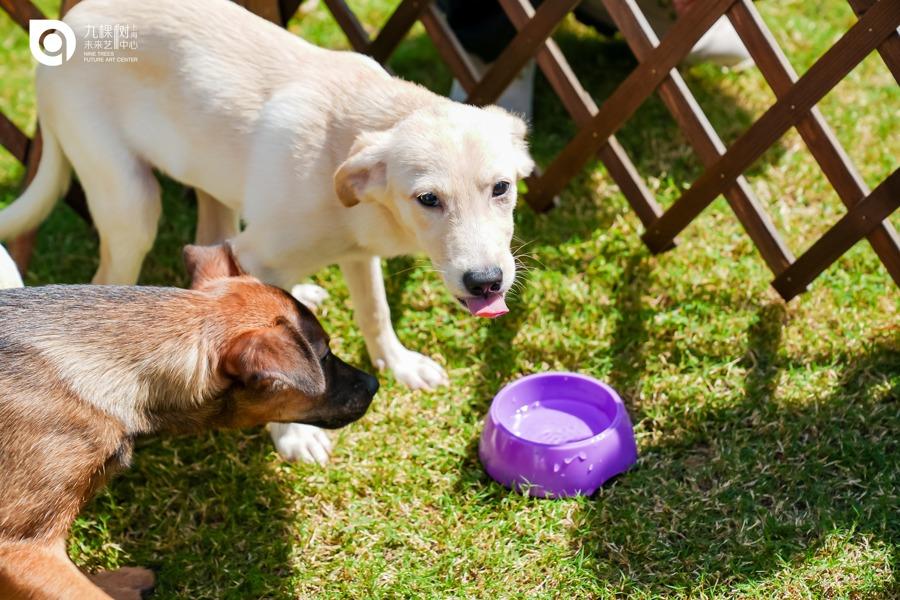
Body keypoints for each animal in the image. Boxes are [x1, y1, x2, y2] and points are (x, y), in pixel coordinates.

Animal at [0, 0, 536, 464]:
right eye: (427, 200)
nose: (486, 282)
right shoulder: (262, 255)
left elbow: (375, 312)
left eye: (501, 188)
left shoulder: (358, 253)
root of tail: (71, 19)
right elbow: (279, 371)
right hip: (132, 203)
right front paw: (293, 435)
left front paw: (399, 363)